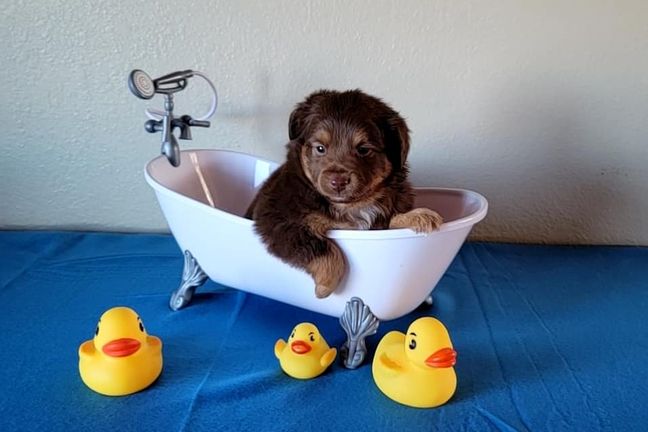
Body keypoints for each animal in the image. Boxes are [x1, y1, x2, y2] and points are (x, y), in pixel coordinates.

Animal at [245, 89, 442, 298]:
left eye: (363, 149)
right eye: (320, 148)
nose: (338, 181)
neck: (352, 206)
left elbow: (390, 221)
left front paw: (420, 216)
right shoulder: (276, 218)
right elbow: (322, 247)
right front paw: (325, 287)